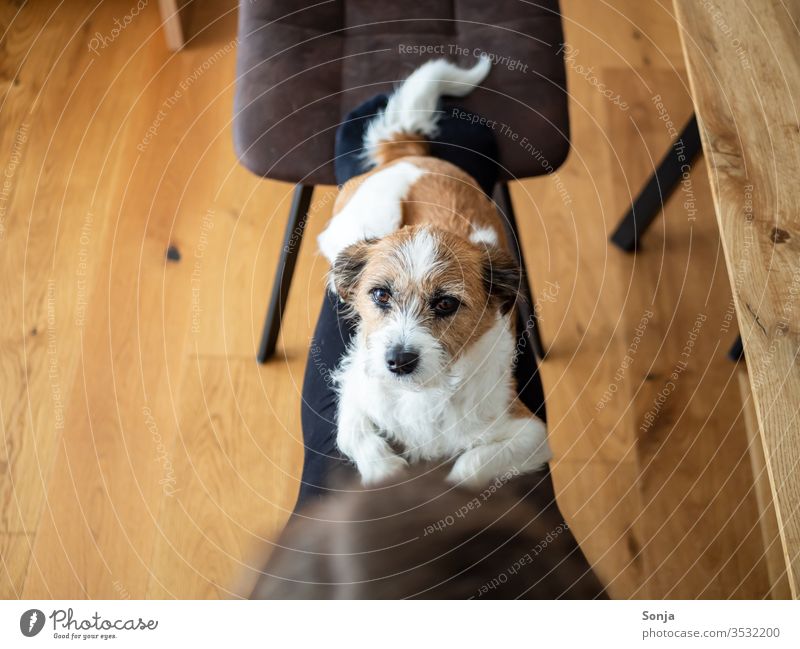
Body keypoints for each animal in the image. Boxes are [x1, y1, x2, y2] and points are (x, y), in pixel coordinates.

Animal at [318, 57, 552, 486]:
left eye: (446, 304)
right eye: (380, 295)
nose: (398, 361)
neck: (421, 392)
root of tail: (411, 154)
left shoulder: (530, 434)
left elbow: (466, 469)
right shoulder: (355, 390)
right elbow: (358, 438)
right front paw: (389, 472)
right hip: (369, 220)